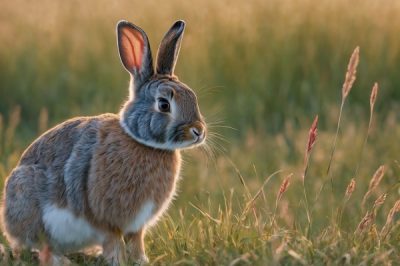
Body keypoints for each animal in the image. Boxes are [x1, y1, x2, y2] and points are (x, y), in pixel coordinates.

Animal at [0, 19, 206, 266]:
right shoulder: (109, 222)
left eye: (193, 97)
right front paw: (118, 261)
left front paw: (142, 261)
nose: (198, 131)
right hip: (30, 202)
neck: (144, 143)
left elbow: (136, 243)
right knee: (41, 246)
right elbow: (114, 244)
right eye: (164, 105)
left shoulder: (136, 227)